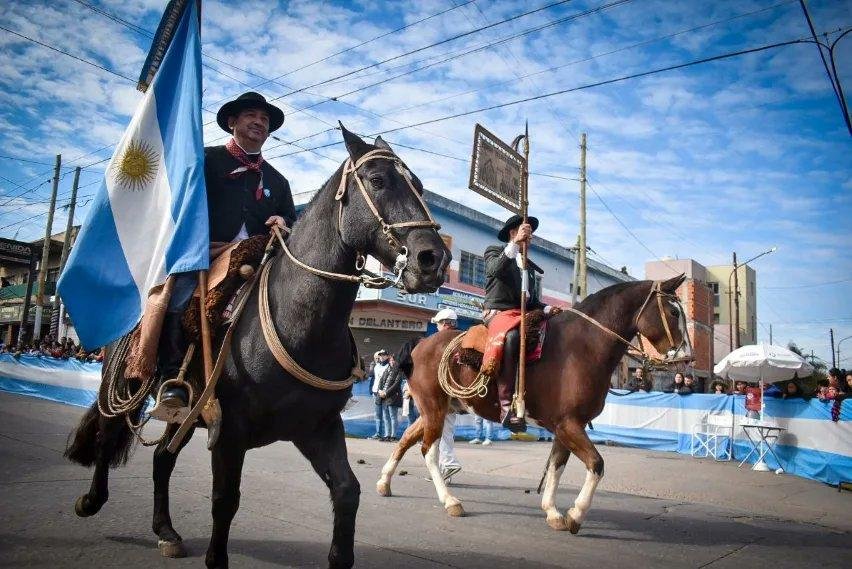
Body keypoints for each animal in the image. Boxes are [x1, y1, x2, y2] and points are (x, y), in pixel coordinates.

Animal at [65, 129, 452, 568]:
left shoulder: (317, 428)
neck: (299, 322)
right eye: (378, 181)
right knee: (108, 434)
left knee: (162, 457)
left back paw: (166, 531)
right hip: (127, 384)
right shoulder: (229, 431)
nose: (433, 259)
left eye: (418, 185)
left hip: (186, 412)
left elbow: (347, 492)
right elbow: (224, 500)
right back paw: (91, 501)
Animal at [372, 274, 684, 532]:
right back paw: (450, 501)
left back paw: (384, 482)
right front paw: (576, 514)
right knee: (428, 451)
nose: (682, 357)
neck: (582, 347)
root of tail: (420, 345)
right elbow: (596, 464)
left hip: (433, 410)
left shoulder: (566, 427)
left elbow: (557, 466)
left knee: (407, 438)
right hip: (435, 409)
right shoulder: (569, 425)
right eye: (673, 312)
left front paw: (553, 512)